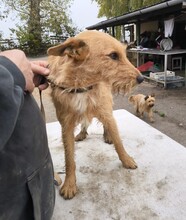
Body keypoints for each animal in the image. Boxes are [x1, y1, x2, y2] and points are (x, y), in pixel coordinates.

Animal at [47, 29, 144, 199]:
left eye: (124, 54)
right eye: (113, 55)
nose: (142, 78)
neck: (82, 85)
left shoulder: (106, 112)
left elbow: (118, 141)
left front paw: (126, 160)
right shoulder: (66, 125)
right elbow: (69, 158)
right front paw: (69, 183)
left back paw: (107, 135)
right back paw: (82, 133)